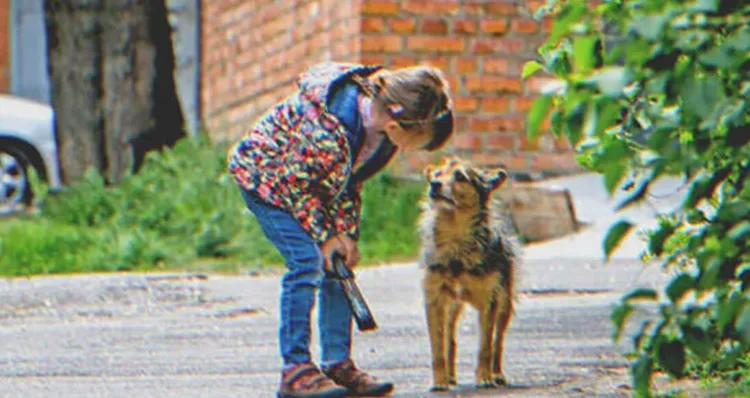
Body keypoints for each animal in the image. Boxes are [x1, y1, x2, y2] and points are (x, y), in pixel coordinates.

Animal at [420, 156, 520, 392]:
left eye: (460, 176)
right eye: (437, 175)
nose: (434, 185)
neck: (457, 243)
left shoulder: (490, 301)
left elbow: (486, 345)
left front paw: (484, 378)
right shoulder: (434, 299)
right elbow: (437, 346)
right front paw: (439, 381)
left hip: (505, 303)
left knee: (498, 341)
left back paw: (497, 374)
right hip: (451, 306)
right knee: (450, 339)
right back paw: (450, 377)